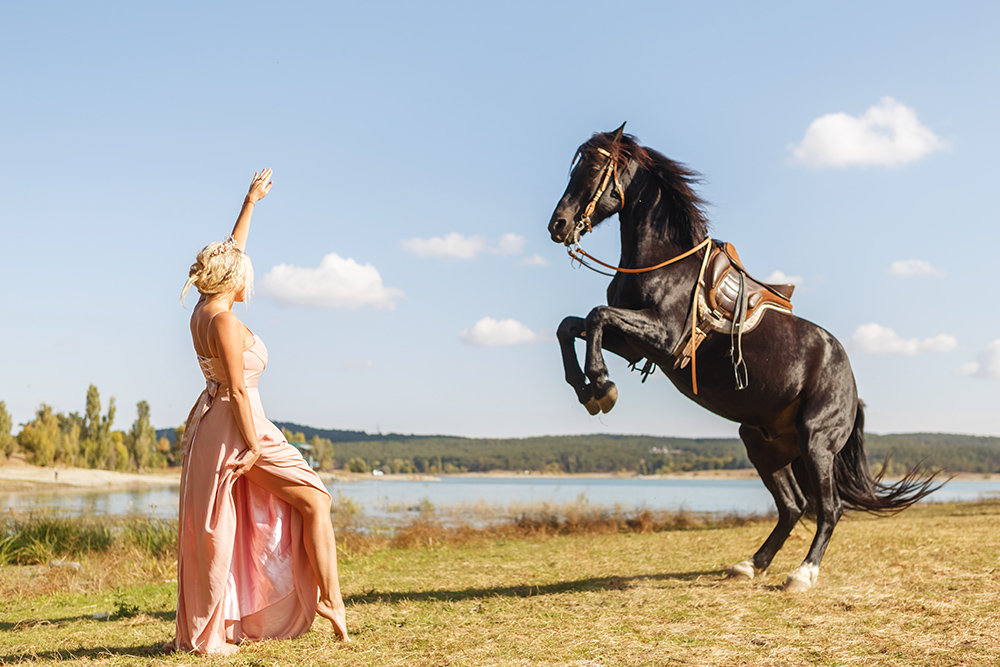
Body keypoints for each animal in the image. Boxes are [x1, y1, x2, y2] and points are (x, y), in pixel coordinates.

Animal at [548, 125, 936, 596]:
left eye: (596, 166)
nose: (558, 224)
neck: (661, 263)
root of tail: (852, 388)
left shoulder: (664, 338)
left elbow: (594, 316)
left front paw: (602, 385)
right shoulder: (634, 344)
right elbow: (572, 325)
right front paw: (587, 389)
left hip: (817, 442)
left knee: (829, 508)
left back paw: (802, 574)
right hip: (764, 445)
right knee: (793, 506)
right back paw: (751, 564)